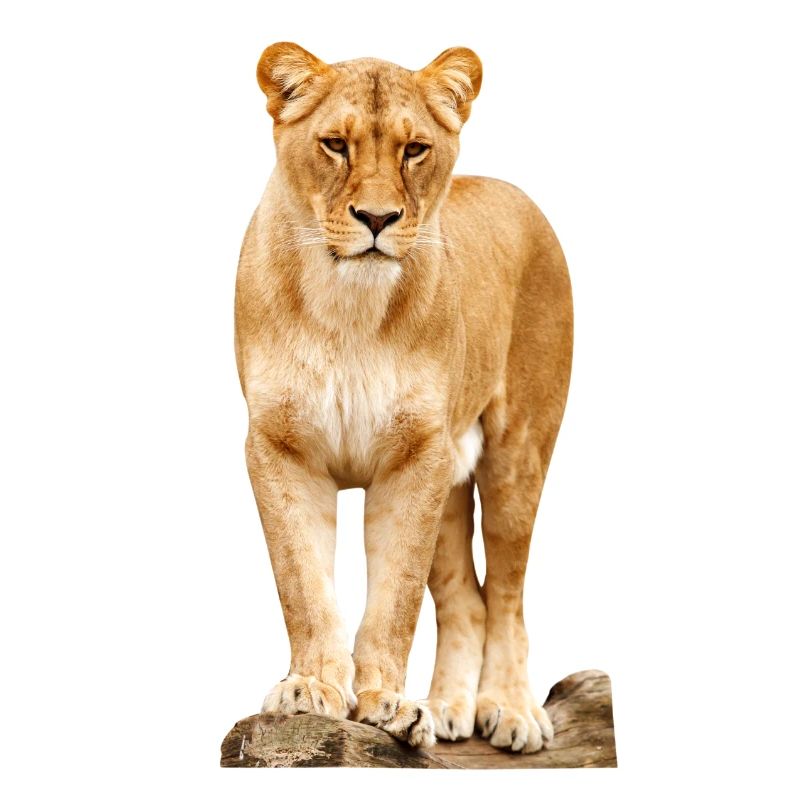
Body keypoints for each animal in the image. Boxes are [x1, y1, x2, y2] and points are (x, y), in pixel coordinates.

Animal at [234, 42, 573, 753]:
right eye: (335, 144)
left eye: (415, 149)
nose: (377, 219)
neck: (347, 308)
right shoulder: (280, 447)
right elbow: (303, 583)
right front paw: (311, 688)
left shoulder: (416, 456)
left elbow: (395, 598)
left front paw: (386, 703)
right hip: (450, 479)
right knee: (467, 599)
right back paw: (447, 709)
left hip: (516, 456)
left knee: (507, 593)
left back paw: (511, 710)